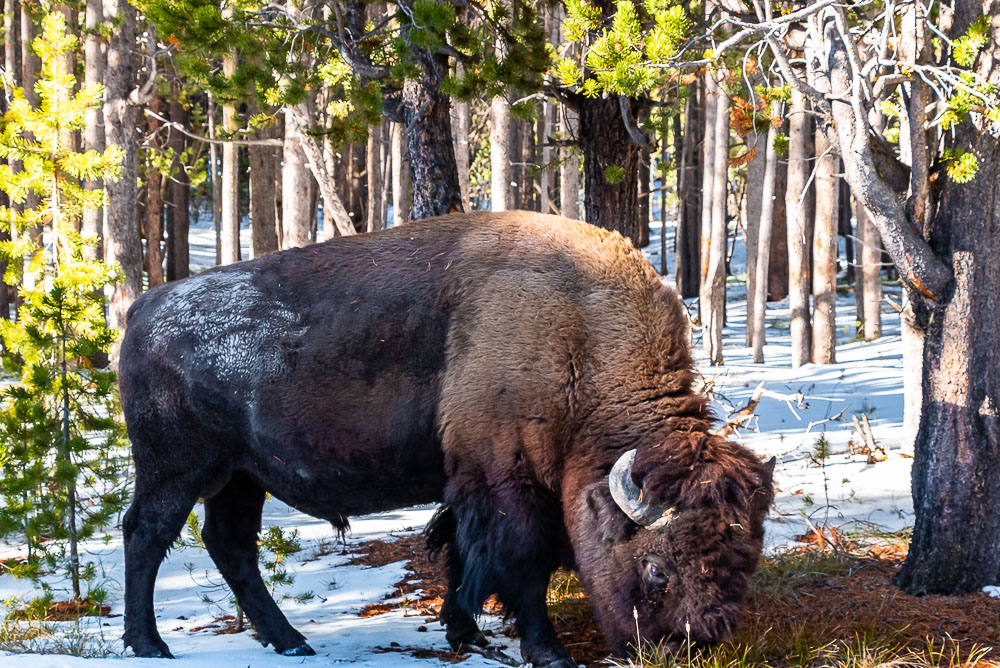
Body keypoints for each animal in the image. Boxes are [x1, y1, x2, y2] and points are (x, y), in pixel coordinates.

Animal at [119, 211, 772, 664]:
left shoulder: (468, 483)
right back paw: (150, 645)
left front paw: (465, 633)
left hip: (239, 477)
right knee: (146, 535)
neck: (581, 341)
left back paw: (291, 641)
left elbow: (461, 554)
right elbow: (520, 564)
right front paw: (548, 653)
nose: (686, 648)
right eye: (658, 569)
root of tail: (142, 309)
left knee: (230, 546)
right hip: (176, 470)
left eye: (746, 561)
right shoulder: (505, 482)